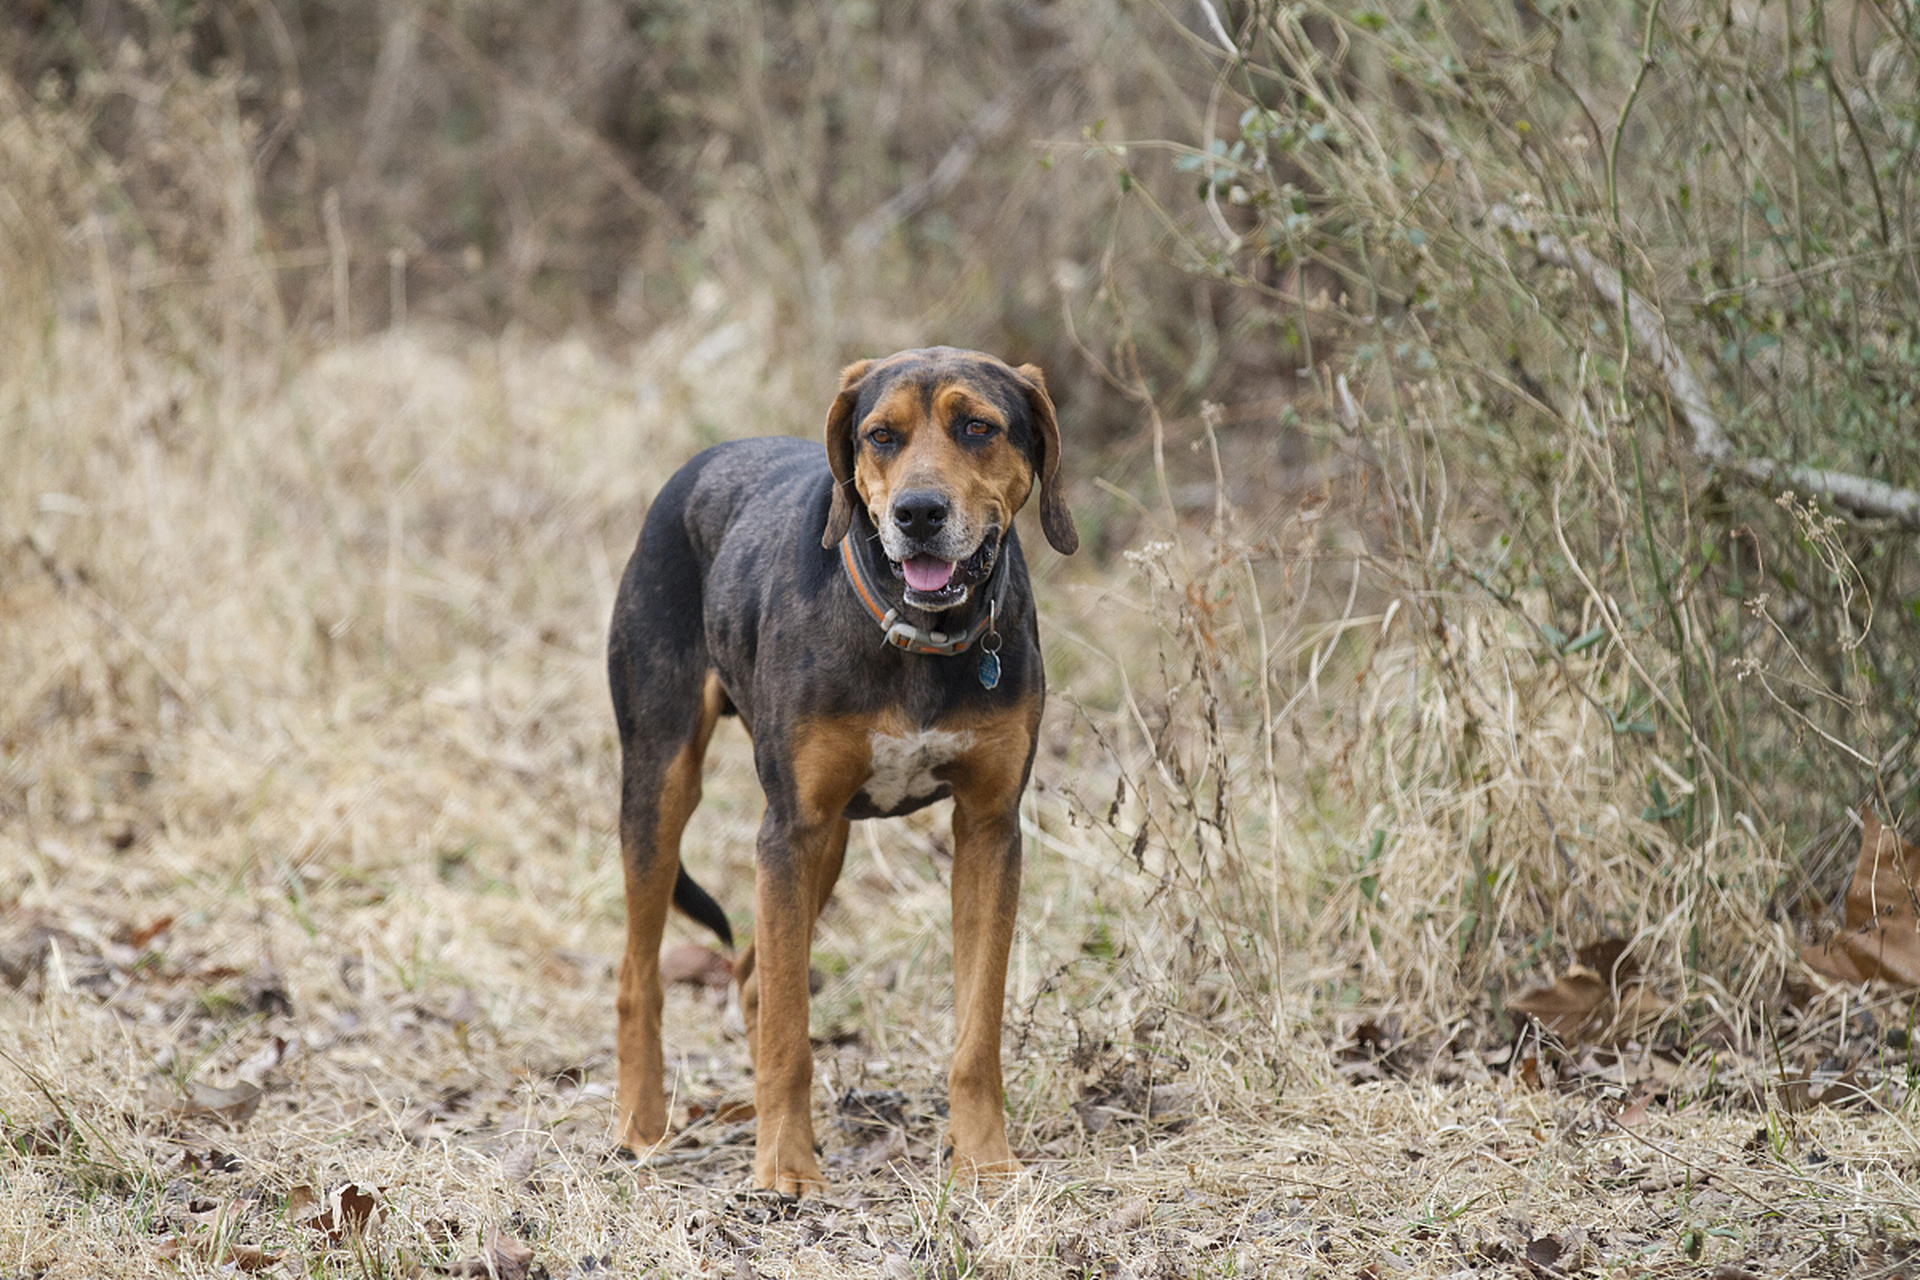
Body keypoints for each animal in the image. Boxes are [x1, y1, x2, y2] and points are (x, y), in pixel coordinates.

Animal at [606, 345, 1075, 1197]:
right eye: (881, 436)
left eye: (978, 427)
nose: (918, 513)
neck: (920, 635)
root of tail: (699, 465)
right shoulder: (788, 830)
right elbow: (791, 1030)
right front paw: (785, 1168)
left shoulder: (989, 828)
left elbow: (977, 1028)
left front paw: (984, 1158)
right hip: (666, 783)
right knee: (640, 976)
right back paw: (642, 1126)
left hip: (826, 841)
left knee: (751, 974)